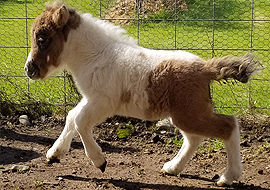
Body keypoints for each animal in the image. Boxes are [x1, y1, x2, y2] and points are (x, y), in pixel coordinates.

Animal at [25, 1, 260, 186]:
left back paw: (229, 176)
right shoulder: (91, 99)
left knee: (228, 125)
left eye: (42, 38)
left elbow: (80, 121)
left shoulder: (103, 102)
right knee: (194, 138)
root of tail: (205, 68)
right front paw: (54, 154)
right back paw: (172, 168)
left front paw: (100, 161)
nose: (29, 70)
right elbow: (72, 116)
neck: (95, 56)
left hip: (189, 114)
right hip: (188, 114)